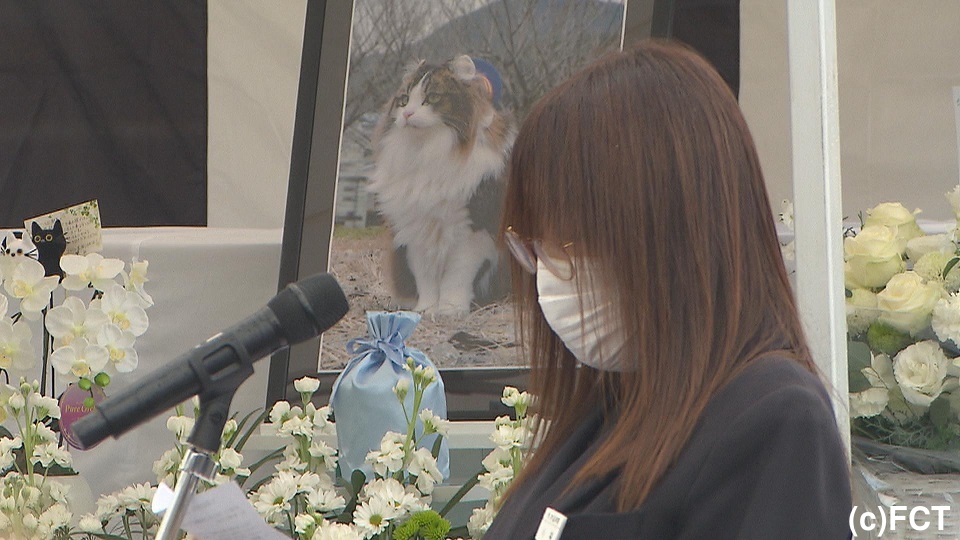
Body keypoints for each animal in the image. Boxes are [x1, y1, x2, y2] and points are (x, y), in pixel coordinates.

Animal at [370, 53, 516, 316]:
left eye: (432, 98)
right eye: (404, 100)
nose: (407, 115)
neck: (427, 153)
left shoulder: (470, 231)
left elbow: (457, 277)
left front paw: (450, 309)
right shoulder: (417, 231)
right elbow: (426, 279)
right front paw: (426, 310)